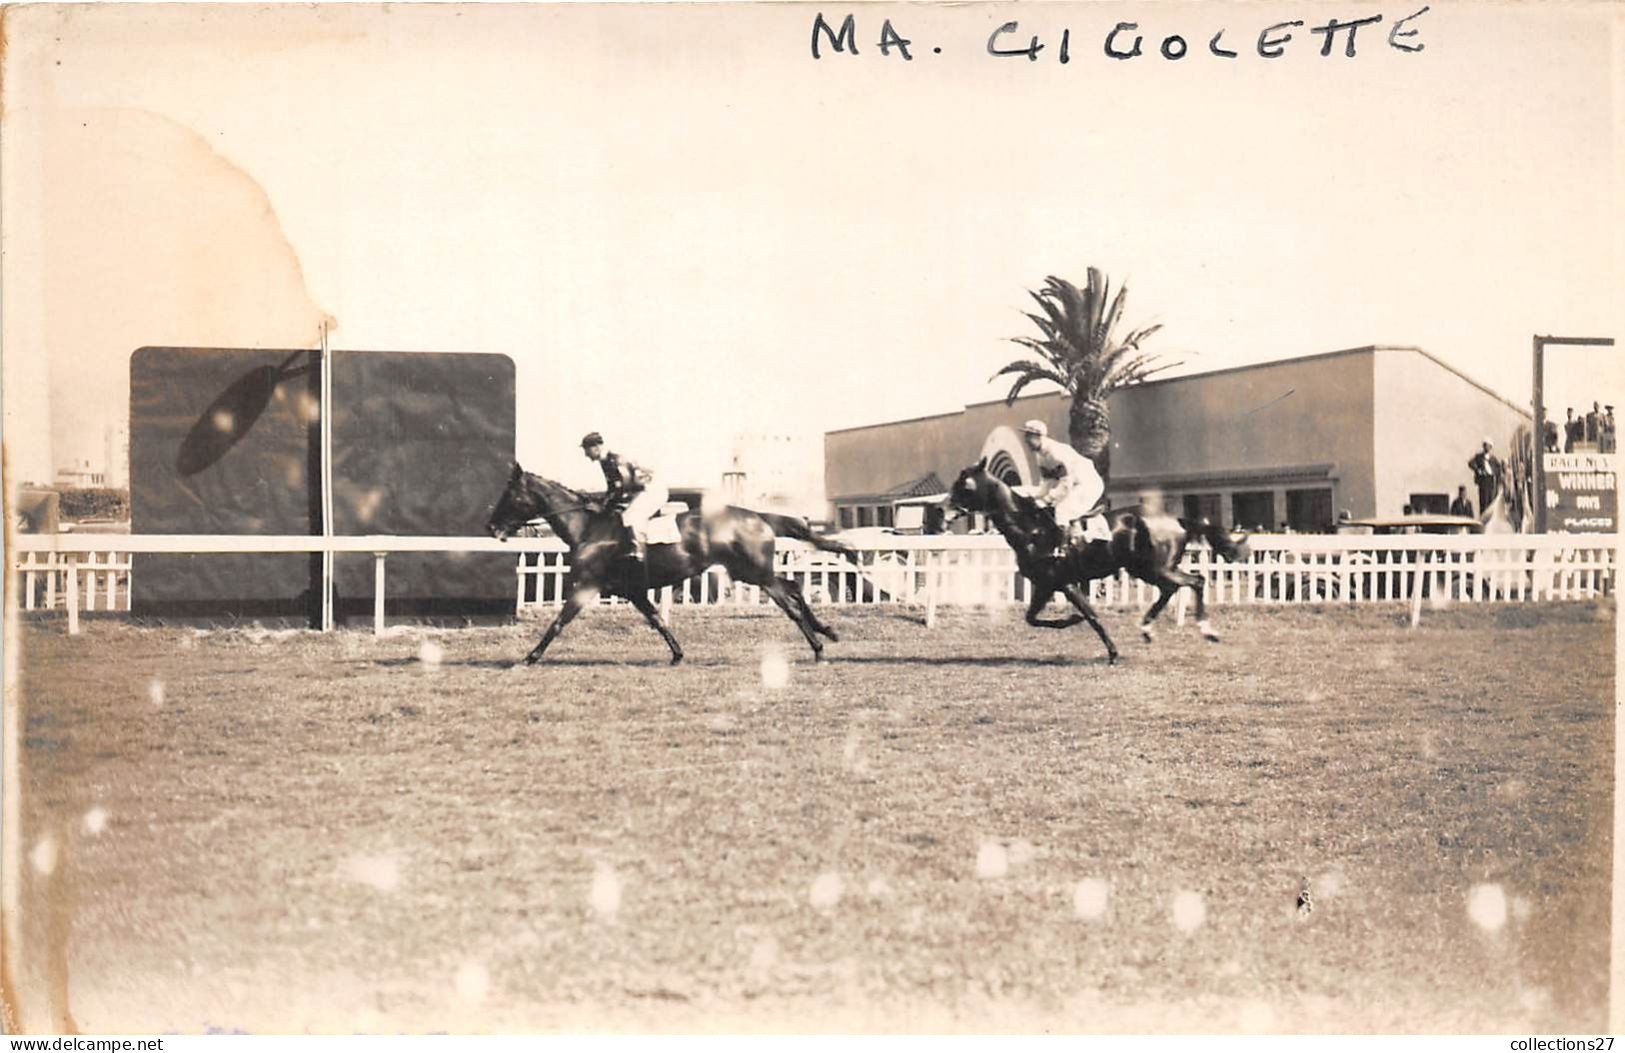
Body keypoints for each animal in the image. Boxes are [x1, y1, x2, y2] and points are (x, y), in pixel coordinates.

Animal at [484, 468, 858, 666]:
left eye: (510, 496)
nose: (491, 527)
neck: (589, 529)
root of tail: (758, 515)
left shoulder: (587, 585)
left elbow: (558, 622)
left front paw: (530, 657)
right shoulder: (633, 591)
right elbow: (657, 620)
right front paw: (677, 654)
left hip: (755, 573)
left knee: (789, 601)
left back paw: (819, 647)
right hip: (750, 572)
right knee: (793, 588)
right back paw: (827, 632)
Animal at [949, 458, 1248, 663]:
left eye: (964, 485)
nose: (945, 509)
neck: (1031, 529)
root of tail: (1177, 519)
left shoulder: (1062, 582)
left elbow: (1089, 616)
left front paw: (1110, 650)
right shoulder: (1047, 585)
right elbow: (1031, 618)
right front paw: (1070, 620)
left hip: (1156, 567)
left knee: (1195, 580)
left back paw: (1206, 629)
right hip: (1146, 569)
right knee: (1172, 588)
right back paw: (1148, 629)